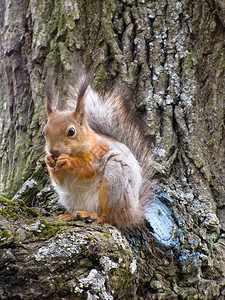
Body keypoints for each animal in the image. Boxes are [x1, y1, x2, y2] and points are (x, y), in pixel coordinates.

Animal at [43, 73, 155, 232]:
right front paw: (48, 160)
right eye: (44, 132)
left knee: (112, 218)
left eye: (71, 131)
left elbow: (87, 168)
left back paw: (96, 216)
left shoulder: (97, 153)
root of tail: (133, 213)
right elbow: (59, 180)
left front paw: (67, 161)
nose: (53, 151)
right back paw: (71, 215)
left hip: (116, 181)